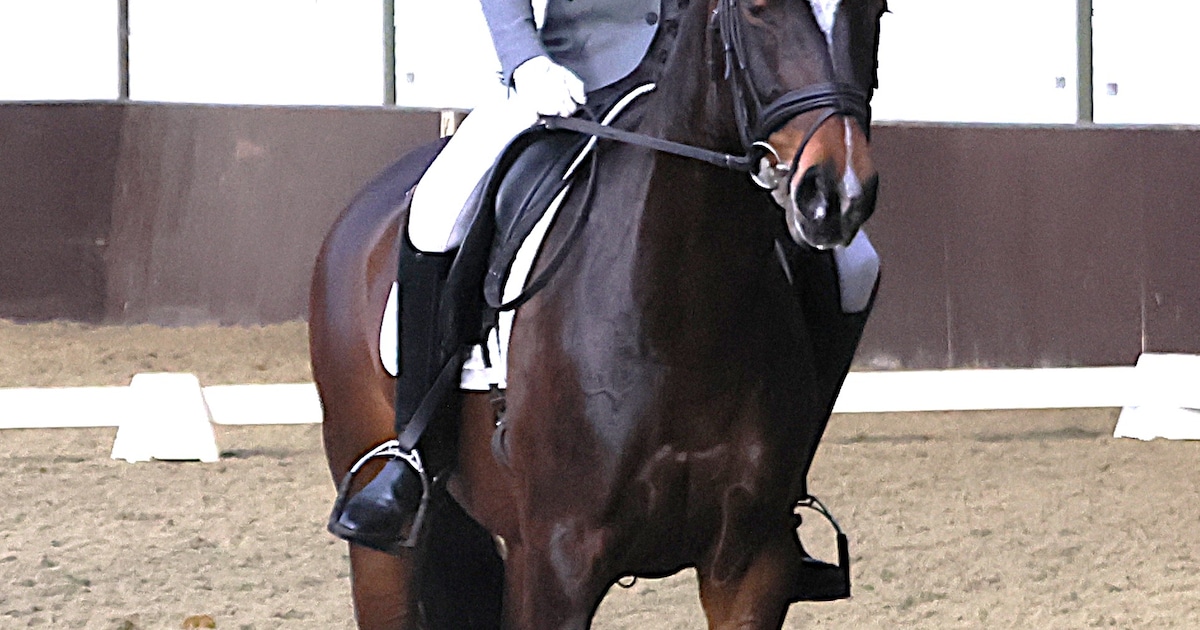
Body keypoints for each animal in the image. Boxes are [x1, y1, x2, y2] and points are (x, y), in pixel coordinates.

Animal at [310, 0, 886, 628]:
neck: (684, 318)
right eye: (759, 11)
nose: (837, 194)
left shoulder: (750, 567)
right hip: (380, 547)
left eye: (876, 12)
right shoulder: (556, 565)